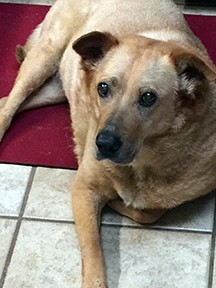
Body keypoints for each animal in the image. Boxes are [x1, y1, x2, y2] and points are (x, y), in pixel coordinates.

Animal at [0, 0, 216, 286]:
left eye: (148, 97)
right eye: (103, 88)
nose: (103, 143)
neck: (145, 162)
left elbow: (148, 212)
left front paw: (120, 202)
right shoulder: (83, 189)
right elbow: (93, 253)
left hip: (55, 89)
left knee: (7, 101)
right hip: (44, 58)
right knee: (10, 105)